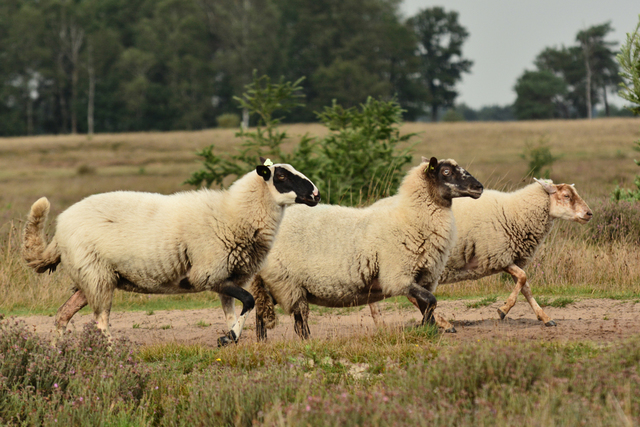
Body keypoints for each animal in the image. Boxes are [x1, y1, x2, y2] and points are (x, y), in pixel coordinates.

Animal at [22, 159, 320, 346]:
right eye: (281, 176)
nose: (316, 195)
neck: (234, 214)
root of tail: (58, 231)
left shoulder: (227, 277)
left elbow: (235, 311)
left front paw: (229, 338)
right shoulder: (207, 274)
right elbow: (249, 301)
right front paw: (227, 338)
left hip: (91, 278)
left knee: (63, 315)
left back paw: (54, 352)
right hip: (96, 275)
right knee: (100, 321)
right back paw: (111, 351)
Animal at [248, 157, 482, 342]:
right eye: (446, 172)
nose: (478, 187)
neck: (409, 218)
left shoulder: (425, 277)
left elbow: (428, 304)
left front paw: (429, 329)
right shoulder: (397, 276)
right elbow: (431, 301)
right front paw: (428, 328)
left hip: (280, 283)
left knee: (263, 309)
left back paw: (263, 342)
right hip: (287, 281)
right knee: (294, 321)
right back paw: (303, 343)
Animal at [370, 177, 596, 332]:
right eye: (566, 196)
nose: (589, 214)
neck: (515, 212)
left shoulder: (508, 257)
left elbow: (526, 287)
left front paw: (545, 317)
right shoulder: (498, 254)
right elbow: (523, 279)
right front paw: (503, 310)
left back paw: (382, 324)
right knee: (410, 295)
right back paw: (444, 324)